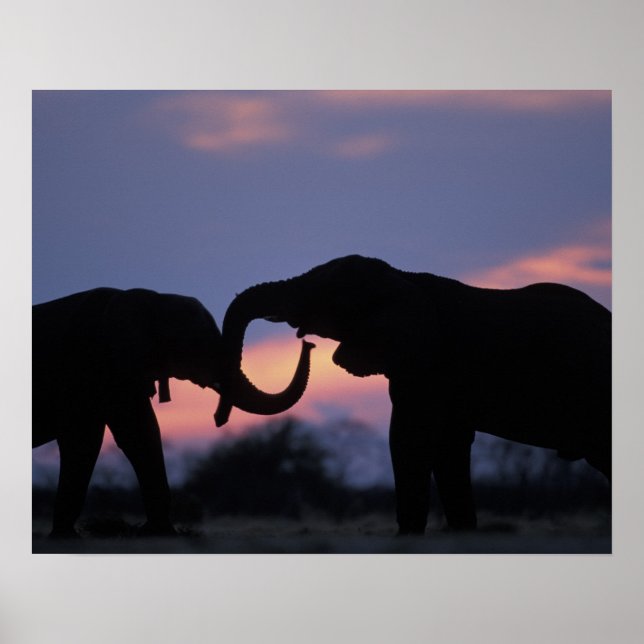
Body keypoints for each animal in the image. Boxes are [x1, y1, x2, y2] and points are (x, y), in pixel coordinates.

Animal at [33, 287, 313, 537]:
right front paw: (65, 536)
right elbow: (85, 440)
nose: (307, 343)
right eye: (198, 343)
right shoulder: (86, 371)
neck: (145, 299)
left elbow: (139, 433)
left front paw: (157, 532)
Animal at [215, 255, 611, 535]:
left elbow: (409, 439)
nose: (219, 418)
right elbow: (448, 448)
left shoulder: (430, 364)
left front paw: (406, 537)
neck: (404, 278)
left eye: (326, 292)